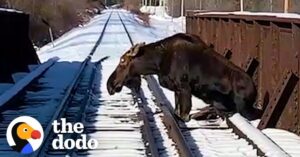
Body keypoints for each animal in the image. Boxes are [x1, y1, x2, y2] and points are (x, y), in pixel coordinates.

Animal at [106, 33, 262, 121]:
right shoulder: (178, 89)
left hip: (243, 107)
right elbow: (177, 112)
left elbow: (183, 116)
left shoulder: (184, 87)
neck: (157, 63)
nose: (110, 84)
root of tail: (255, 91)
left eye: (122, 61)